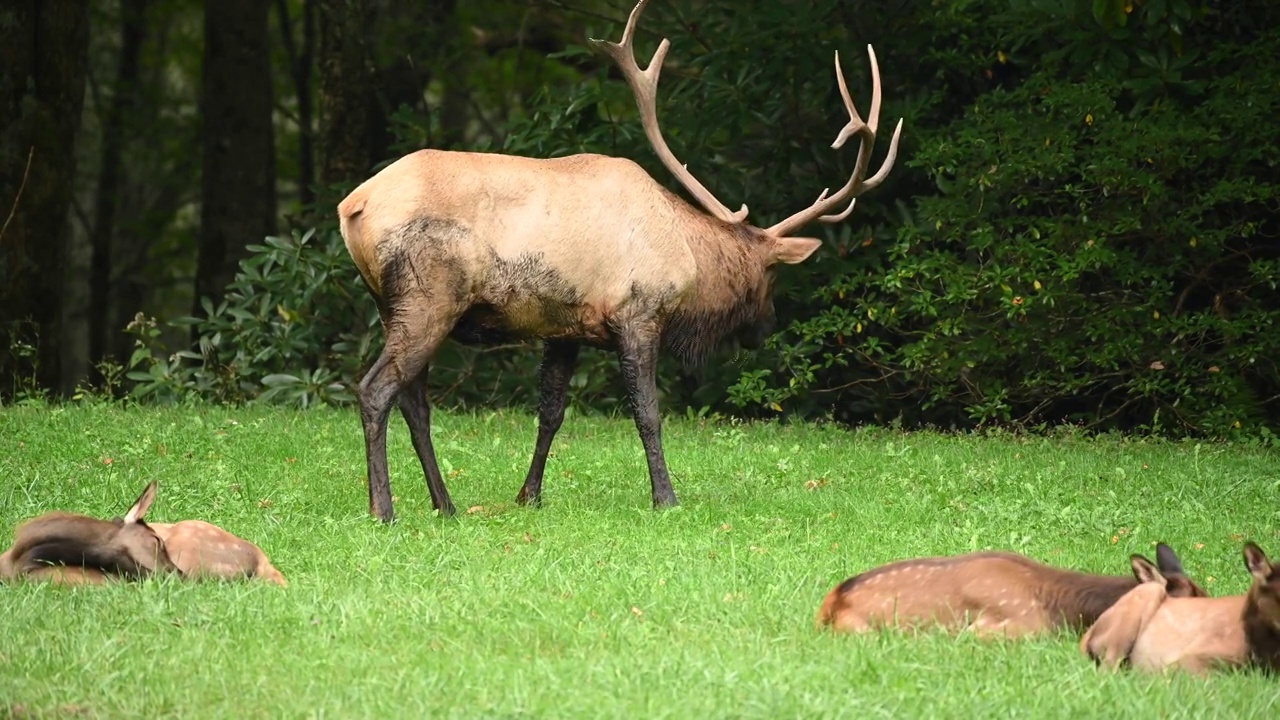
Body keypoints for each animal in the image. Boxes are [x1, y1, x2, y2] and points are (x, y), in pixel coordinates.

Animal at [335, 0, 906, 517]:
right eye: (770, 278)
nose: (763, 328)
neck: (687, 257)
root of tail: (352, 206)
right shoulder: (639, 313)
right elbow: (648, 413)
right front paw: (666, 498)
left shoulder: (564, 328)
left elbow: (551, 413)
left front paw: (529, 496)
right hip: (429, 295)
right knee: (375, 389)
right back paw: (383, 508)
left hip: (393, 305)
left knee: (415, 402)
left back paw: (446, 505)